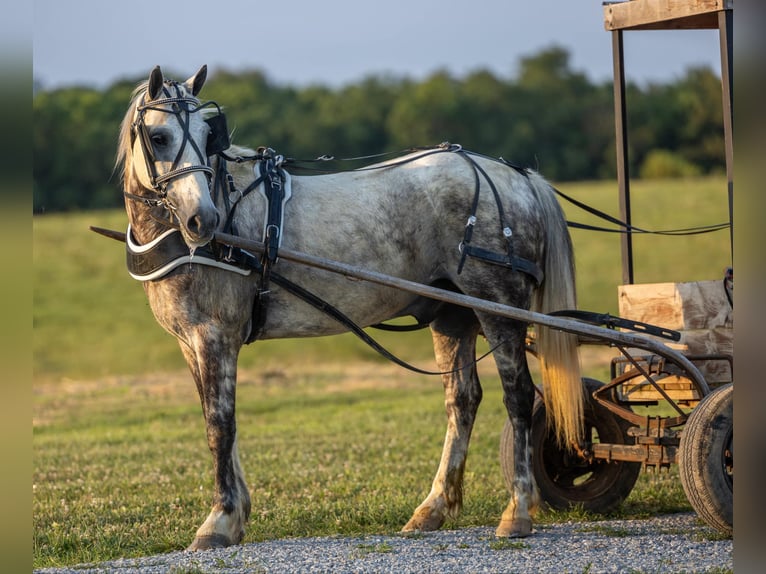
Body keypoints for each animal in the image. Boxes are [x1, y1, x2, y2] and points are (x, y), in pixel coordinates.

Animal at [114, 65, 584, 556]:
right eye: (159, 137)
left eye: (208, 136)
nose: (202, 220)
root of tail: (519, 177)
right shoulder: (191, 342)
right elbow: (224, 420)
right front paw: (237, 513)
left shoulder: (215, 334)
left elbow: (219, 425)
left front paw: (219, 521)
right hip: (453, 315)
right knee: (462, 400)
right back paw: (433, 507)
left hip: (498, 308)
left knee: (519, 396)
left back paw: (518, 509)